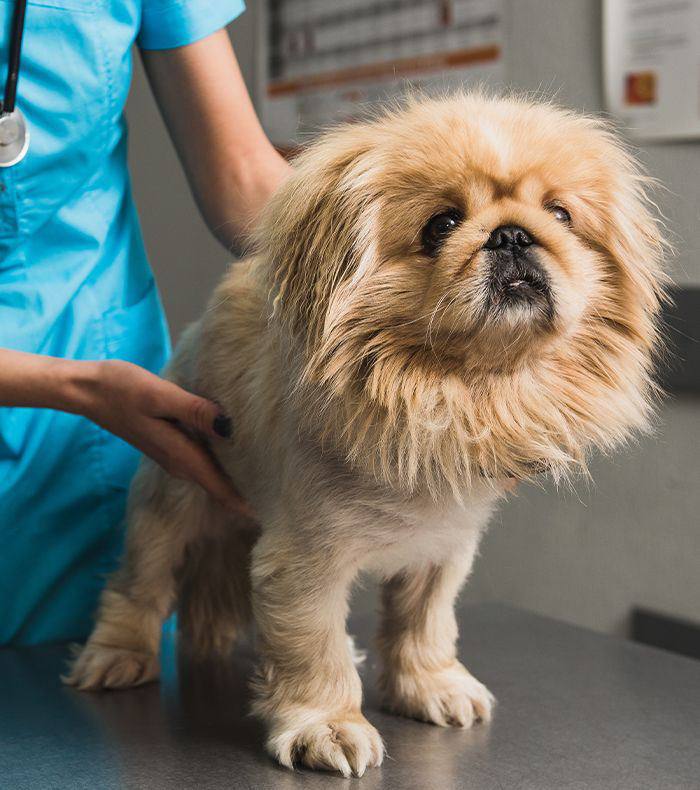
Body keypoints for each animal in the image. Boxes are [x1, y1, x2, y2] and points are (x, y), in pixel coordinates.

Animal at [67, 93, 668, 780]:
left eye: (561, 214)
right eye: (441, 225)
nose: (512, 234)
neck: (447, 391)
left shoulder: (443, 549)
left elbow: (423, 627)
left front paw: (431, 688)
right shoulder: (302, 565)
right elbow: (313, 651)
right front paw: (326, 726)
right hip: (167, 501)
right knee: (137, 587)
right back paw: (117, 656)